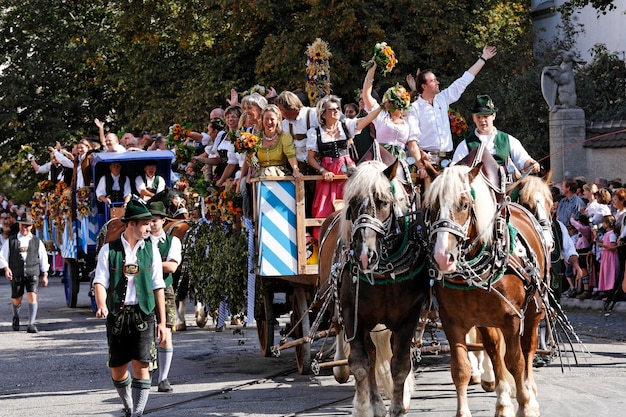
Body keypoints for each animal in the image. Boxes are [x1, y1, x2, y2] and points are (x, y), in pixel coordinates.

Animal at [316, 158, 428, 414]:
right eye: (353, 203)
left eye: (384, 202)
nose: (364, 255)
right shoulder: (353, 314)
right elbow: (360, 364)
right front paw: (363, 407)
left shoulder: (408, 317)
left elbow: (400, 364)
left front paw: (398, 405)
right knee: (365, 354)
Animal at [422, 162, 548, 416]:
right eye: (432, 206)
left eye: (464, 204)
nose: (442, 257)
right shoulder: (452, 321)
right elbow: (460, 368)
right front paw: (464, 411)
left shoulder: (512, 318)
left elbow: (516, 361)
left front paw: (525, 405)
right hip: (485, 318)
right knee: (492, 348)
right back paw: (502, 400)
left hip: (534, 310)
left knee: (528, 348)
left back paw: (530, 392)